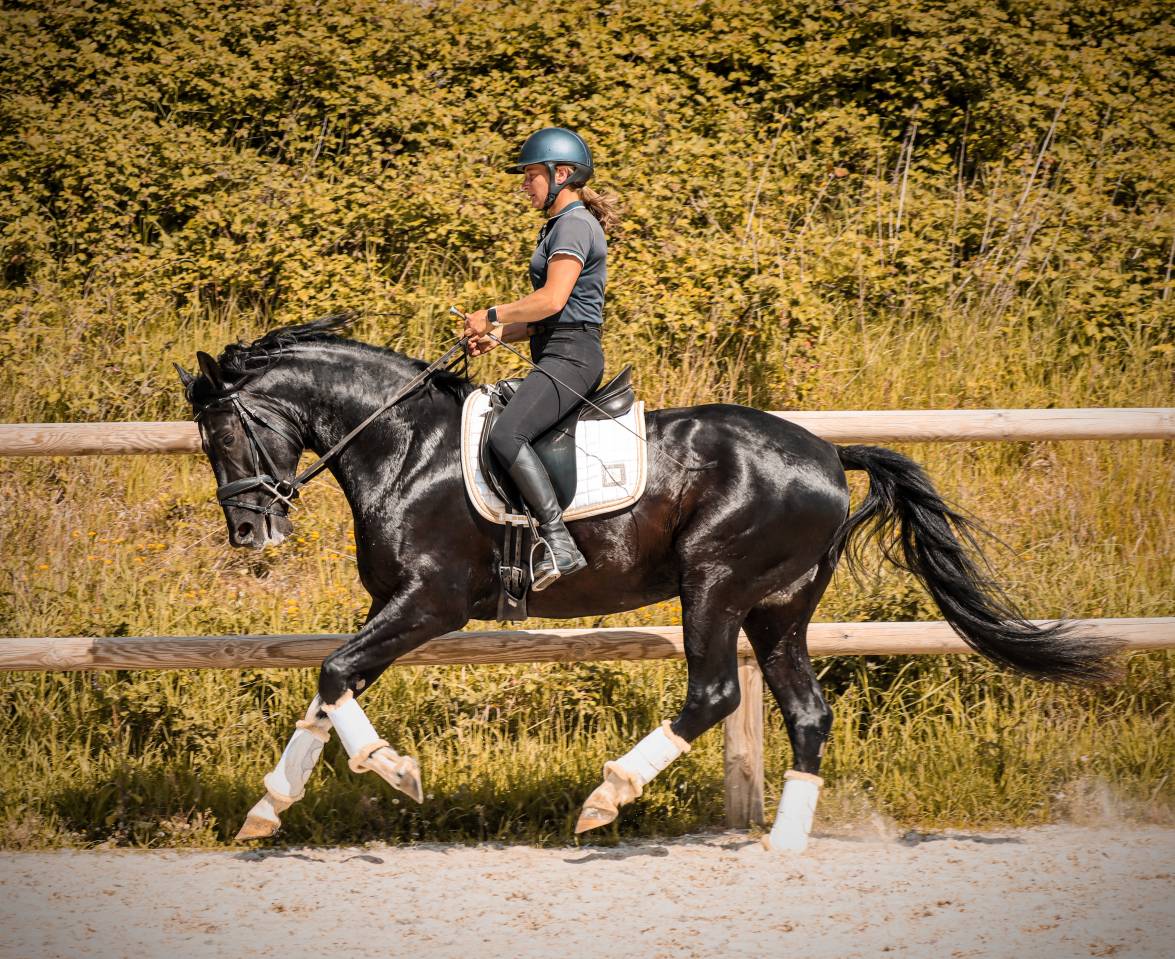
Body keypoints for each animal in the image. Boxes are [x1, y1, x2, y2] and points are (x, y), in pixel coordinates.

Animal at [176, 315, 1119, 851]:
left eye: (222, 432)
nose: (250, 532)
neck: (405, 445)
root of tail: (825, 452)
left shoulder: (430, 602)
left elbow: (334, 673)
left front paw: (393, 769)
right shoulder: (393, 606)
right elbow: (329, 689)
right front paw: (267, 810)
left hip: (715, 582)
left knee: (712, 692)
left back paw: (605, 799)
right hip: (777, 608)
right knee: (806, 710)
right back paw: (782, 844)